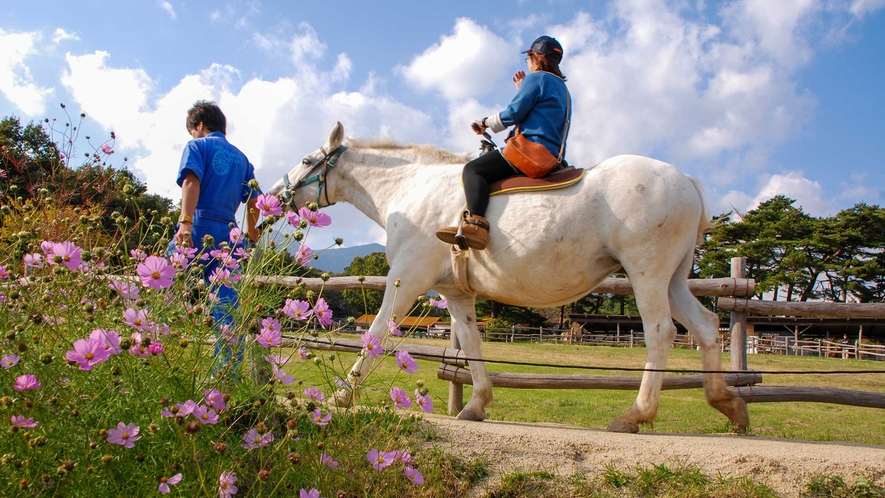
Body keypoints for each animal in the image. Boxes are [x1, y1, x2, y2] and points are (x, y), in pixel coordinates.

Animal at [268, 123, 744, 432]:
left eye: (308, 159)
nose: (273, 195)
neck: (414, 189)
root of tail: (686, 180)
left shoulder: (407, 278)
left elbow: (378, 334)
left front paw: (340, 397)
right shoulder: (455, 294)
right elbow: (472, 343)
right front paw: (477, 404)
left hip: (647, 274)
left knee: (661, 332)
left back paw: (636, 414)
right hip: (673, 279)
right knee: (705, 326)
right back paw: (728, 403)